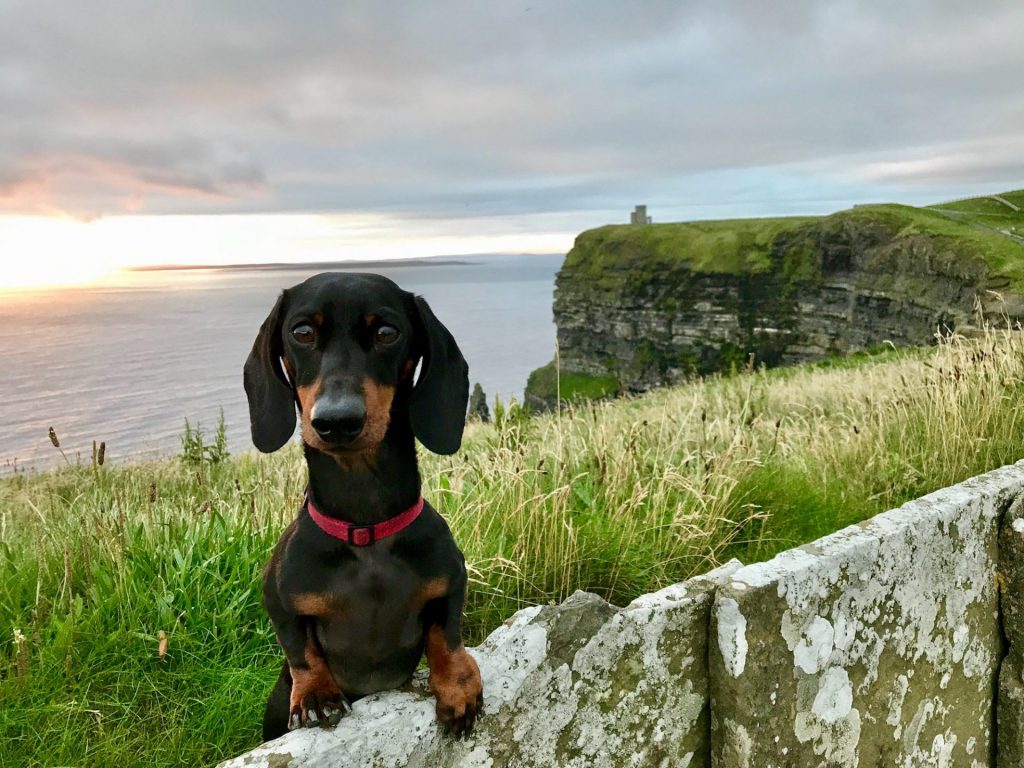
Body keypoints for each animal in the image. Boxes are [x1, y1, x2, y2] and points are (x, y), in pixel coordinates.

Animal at [247, 274, 483, 741]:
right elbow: (299, 648)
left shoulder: (452, 580)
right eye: (302, 332)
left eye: (387, 332)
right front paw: (315, 694)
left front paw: (458, 687)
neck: (366, 528)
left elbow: (446, 634)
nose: (336, 421)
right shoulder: (276, 596)